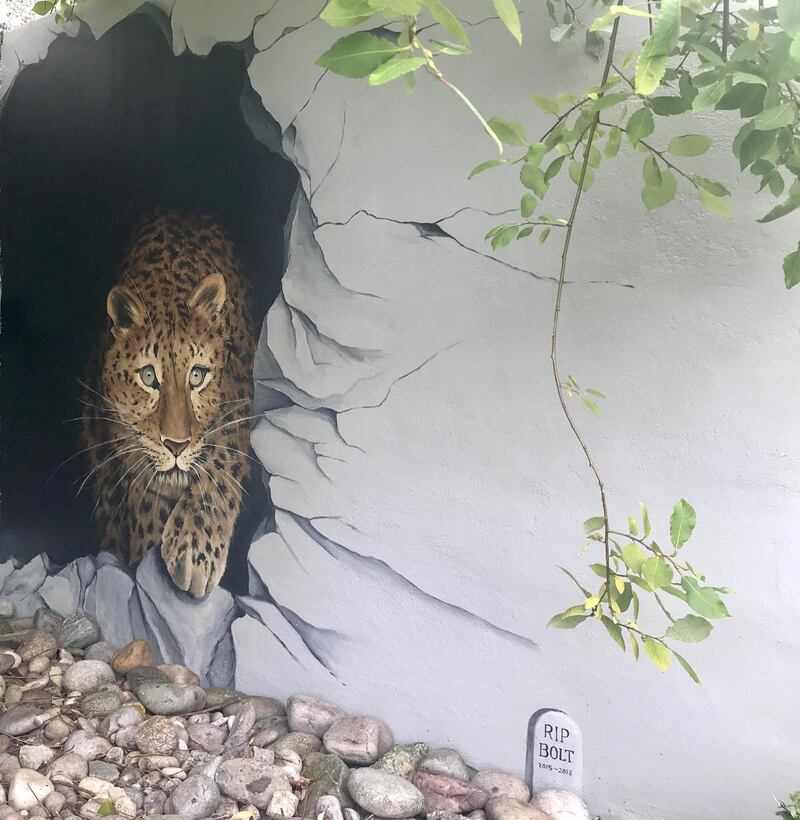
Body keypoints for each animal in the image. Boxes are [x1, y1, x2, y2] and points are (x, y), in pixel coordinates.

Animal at [80, 209, 257, 598]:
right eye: (148, 377)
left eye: (197, 376)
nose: (176, 445)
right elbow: (146, 490)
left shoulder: (239, 401)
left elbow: (220, 464)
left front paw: (195, 551)